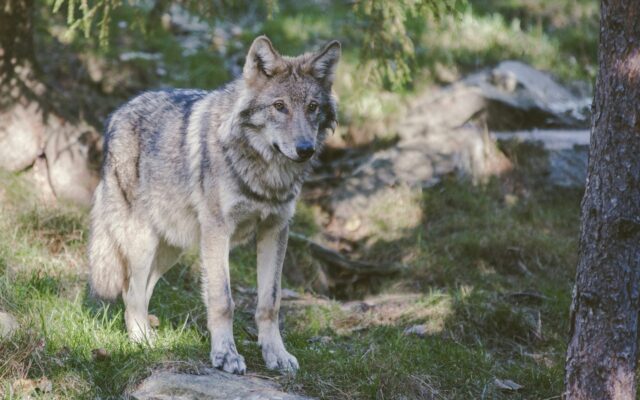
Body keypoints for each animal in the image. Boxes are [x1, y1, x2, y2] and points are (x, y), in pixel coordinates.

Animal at [88, 36, 340, 374]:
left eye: (312, 107)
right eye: (279, 106)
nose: (305, 149)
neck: (266, 174)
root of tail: (117, 114)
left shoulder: (275, 230)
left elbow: (270, 302)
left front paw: (276, 354)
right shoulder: (218, 231)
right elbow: (223, 301)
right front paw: (225, 355)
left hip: (172, 248)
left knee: (143, 290)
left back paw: (151, 338)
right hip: (143, 242)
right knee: (131, 293)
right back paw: (142, 343)